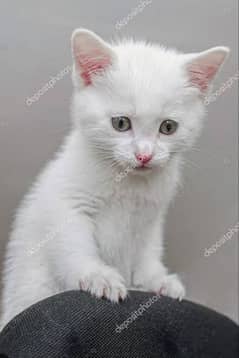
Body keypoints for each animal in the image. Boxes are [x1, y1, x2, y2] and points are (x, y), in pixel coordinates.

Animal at [0, 29, 229, 328]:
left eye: (168, 127)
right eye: (121, 123)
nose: (144, 155)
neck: (128, 184)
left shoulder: (151, 218)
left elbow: (147, 250)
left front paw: (156, 279)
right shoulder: (67, 202)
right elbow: (73, 244)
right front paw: (98, 276)